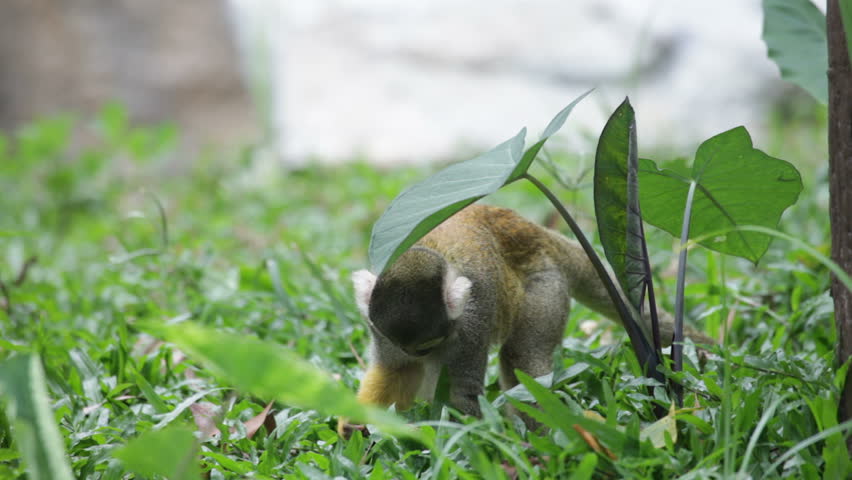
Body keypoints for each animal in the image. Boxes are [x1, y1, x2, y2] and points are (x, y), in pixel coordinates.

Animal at [339, 203, 710, 436]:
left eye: (431, 344)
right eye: (412, 348)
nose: (423, 355)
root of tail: (540, 233)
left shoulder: (471, 325)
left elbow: (461, 394)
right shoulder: (378, 327)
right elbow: (394, 370)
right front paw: (355, 424)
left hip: (546, 286)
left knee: (522, 358)